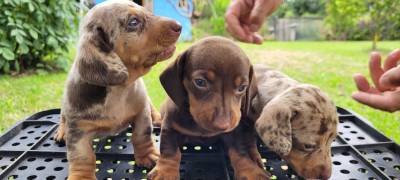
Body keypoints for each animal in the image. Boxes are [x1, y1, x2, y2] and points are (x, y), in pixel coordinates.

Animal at [54, 0, 181, 179]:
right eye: (133, 22)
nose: (179, 26)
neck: (120, 90)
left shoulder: (141, 113)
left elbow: (141, 136)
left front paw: (148, 156)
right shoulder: (78, 131)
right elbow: (82, 156)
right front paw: (82, 176)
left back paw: (158, 118)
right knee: (63, 117)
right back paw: (62, 132)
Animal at [148, 37, 268, 180]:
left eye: (242, 88)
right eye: (200, 82)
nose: (223, 125)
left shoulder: (234, 131)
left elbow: (240, 150)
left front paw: (250, 170)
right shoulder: (170, 127)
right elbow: (169, 149)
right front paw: (165, 172)